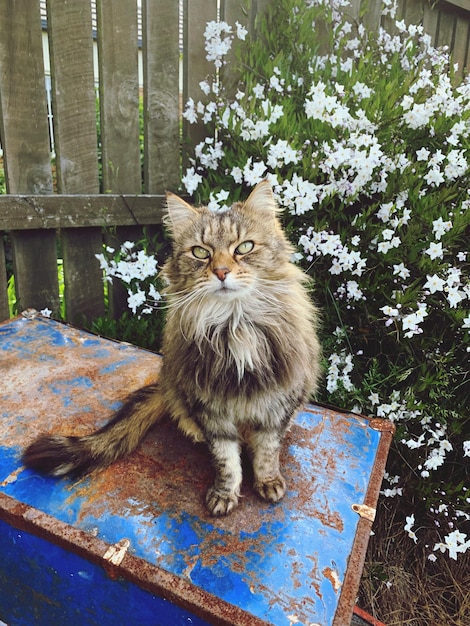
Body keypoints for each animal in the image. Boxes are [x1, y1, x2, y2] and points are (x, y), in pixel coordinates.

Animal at [23, 179, 324, 512]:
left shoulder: (277, 402)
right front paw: (225, 494)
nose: (221, 272)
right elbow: (226, 459)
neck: (235, 326)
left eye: (244, 247)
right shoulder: (207, 406)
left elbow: (267, 451)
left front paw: (267, 481)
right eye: (201, 253)